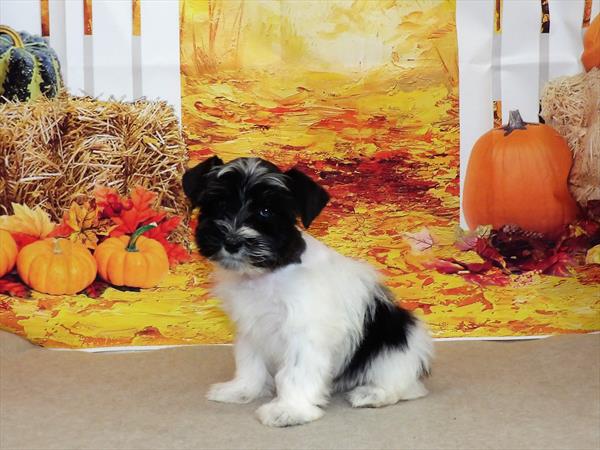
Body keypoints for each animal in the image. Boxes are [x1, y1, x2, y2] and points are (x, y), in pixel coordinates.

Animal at [183, 156, 432, 428]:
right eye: (219, 203)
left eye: (266, 211)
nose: (232, 241)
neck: (269, 272)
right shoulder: (251, 328)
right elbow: (249, 361)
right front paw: (242, 390)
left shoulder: (304, 333)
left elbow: (294, 372)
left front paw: (289, 410)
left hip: (395, 344)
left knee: (402, 384)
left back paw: (373, 393)